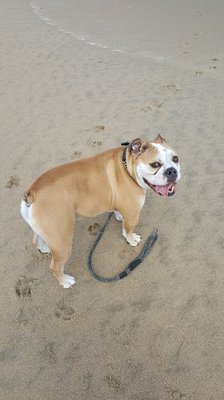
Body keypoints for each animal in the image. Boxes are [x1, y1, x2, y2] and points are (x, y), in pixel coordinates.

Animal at [19, 135, 180, 288]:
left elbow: (120, 218)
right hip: (62, 240)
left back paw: (45, 248)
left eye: (176, 159)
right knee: (55, 266)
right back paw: (65, 281)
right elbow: (128, 230)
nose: (172, 170)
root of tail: (32, 193)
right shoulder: (133, 214)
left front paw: (119, 218)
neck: (127, 167)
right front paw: (131, 239)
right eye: (155, 165)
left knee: (36, 240)